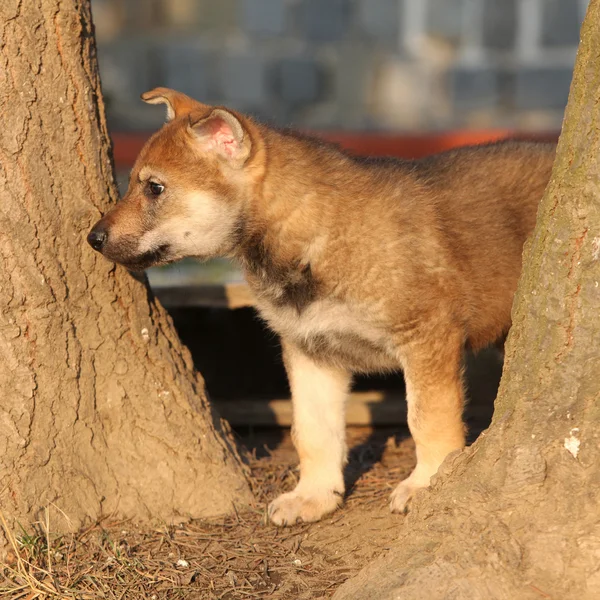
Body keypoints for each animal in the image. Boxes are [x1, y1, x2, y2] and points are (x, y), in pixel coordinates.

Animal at [86, 88, 556, 524]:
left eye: (155, 188)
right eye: (134, 183)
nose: (93, 238)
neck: (311, 241)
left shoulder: (427, 337)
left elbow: (427, 419)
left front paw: (426, 485)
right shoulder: (309, 350)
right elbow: (312, 431)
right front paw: (314, 496)